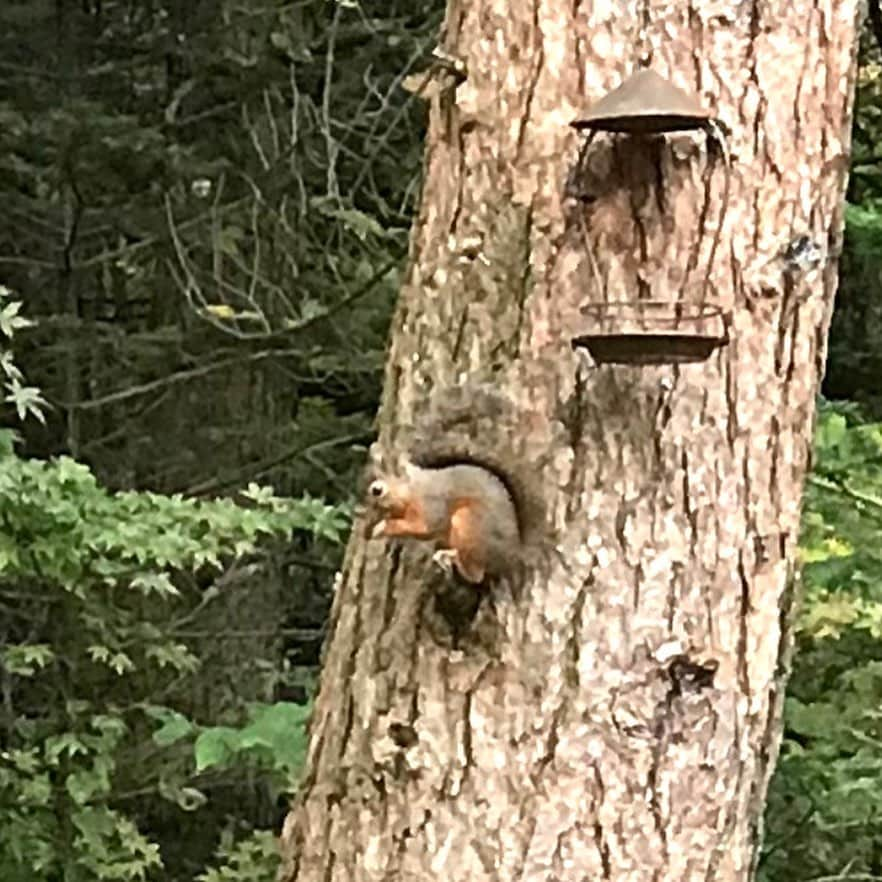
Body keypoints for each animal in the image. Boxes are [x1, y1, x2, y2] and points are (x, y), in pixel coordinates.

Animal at [364, 454, 524, 584]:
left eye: (377, 491)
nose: (365, 532)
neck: (414, 489)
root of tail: (510, 559)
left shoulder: (431, 507)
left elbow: (423, 528)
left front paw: (381, 527)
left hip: (469, 522)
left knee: (476, 570)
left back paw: (449, 556)